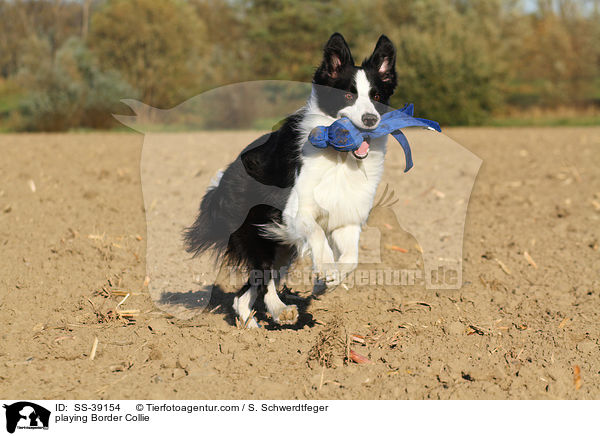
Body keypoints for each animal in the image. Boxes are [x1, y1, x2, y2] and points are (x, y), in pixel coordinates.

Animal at [185, 34, 396, 328]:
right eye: (348, 94)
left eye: (376, 96)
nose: (370, 119)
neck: (340, 158)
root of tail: (221, 185)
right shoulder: (296, 210)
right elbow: (317, 234)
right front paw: (326, 269)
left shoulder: (347, 217)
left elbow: (352, 259)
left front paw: (326, 282)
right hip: (258, 233)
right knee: (262, 278)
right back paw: (280, 310)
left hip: (282, 247)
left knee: (246, 292)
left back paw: (250, 324)